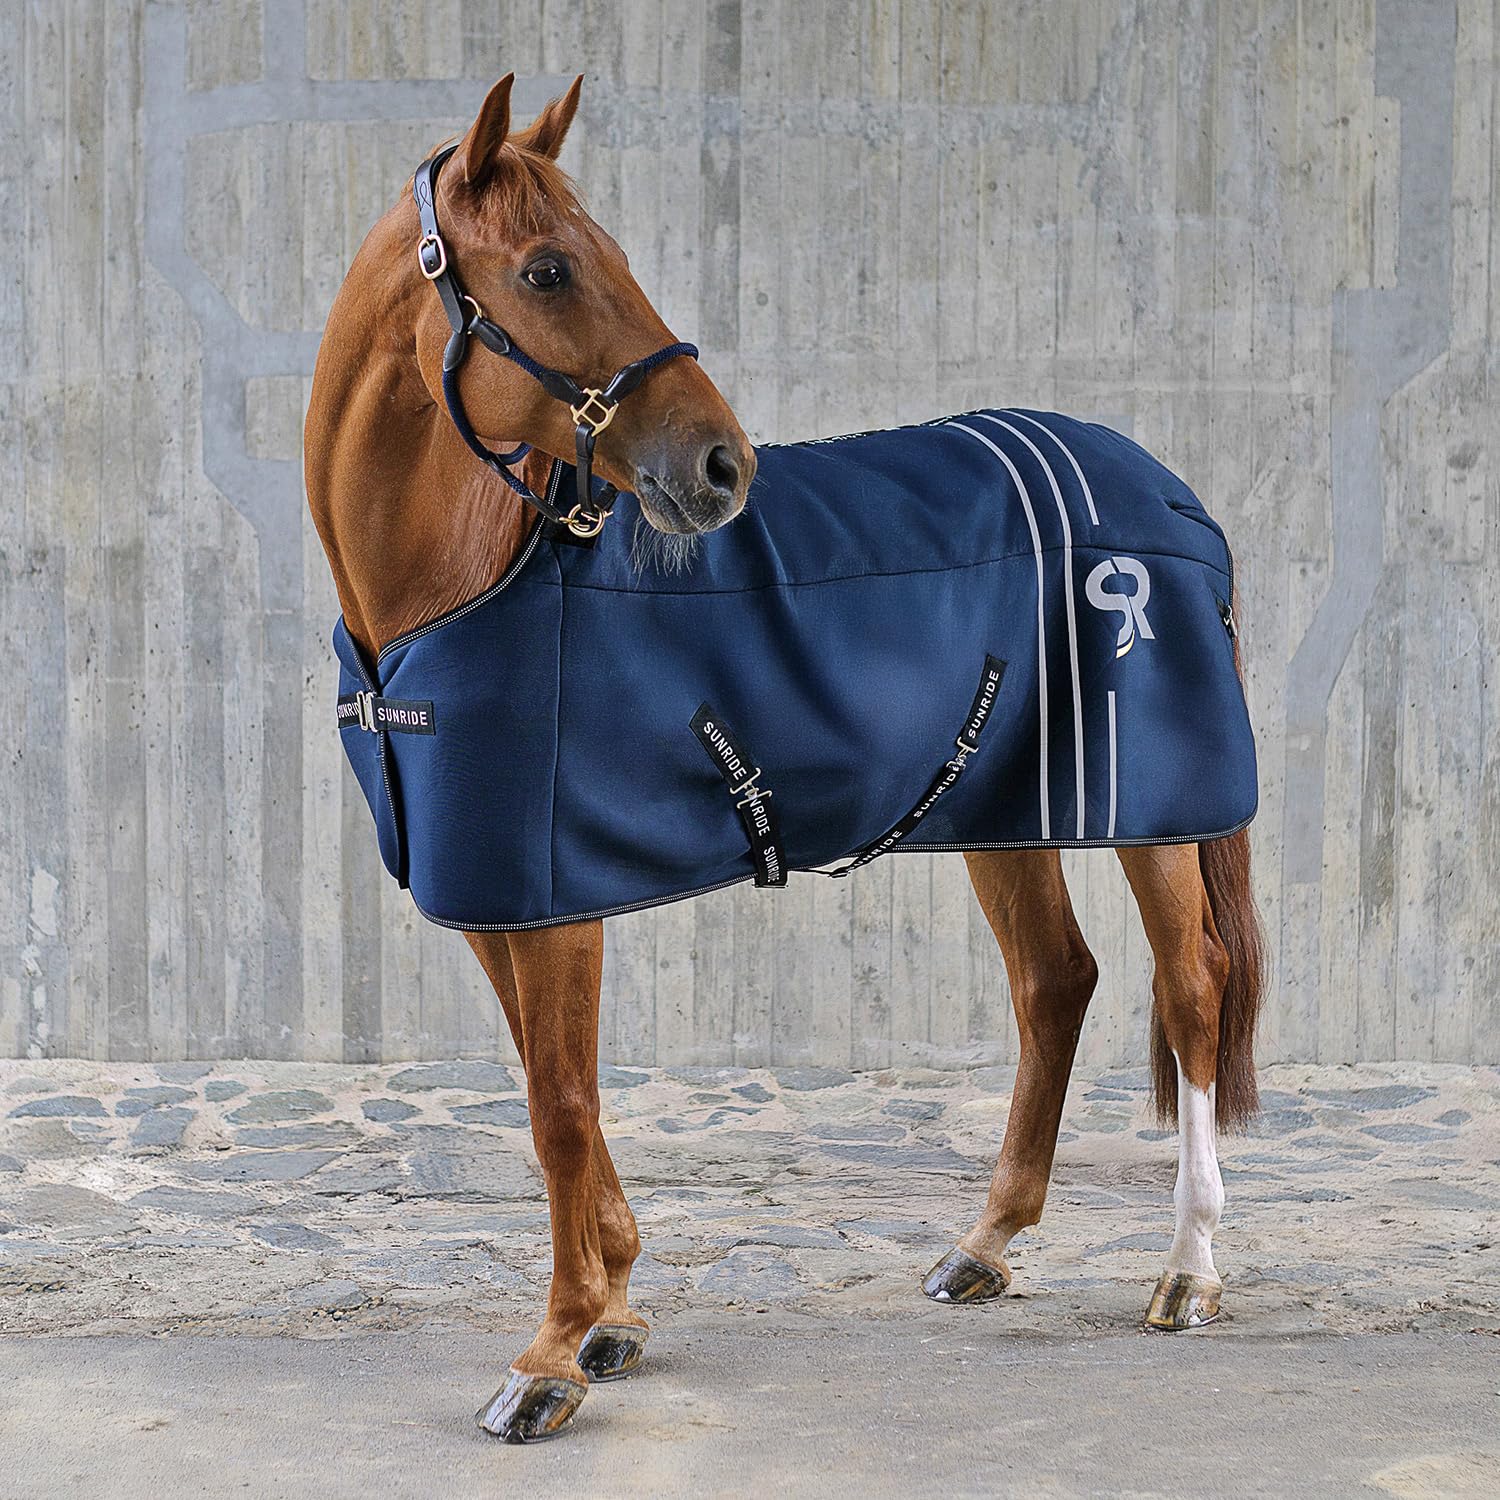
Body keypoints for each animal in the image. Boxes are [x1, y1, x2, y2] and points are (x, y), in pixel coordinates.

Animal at [304, 74, 1265, 1444]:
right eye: (546, 269)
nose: (723, 466)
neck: (462, 579)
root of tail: (1170, 493)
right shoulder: (501, 896)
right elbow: (557, 1092)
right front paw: (613, 1315)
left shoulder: (552, 902)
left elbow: (560, 1108)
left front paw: (549, 1358)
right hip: (1003, 809)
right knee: (1056, 983)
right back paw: (987, 1245)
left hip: (1157, 815)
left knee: (1190, 993)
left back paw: (1188, 1272)